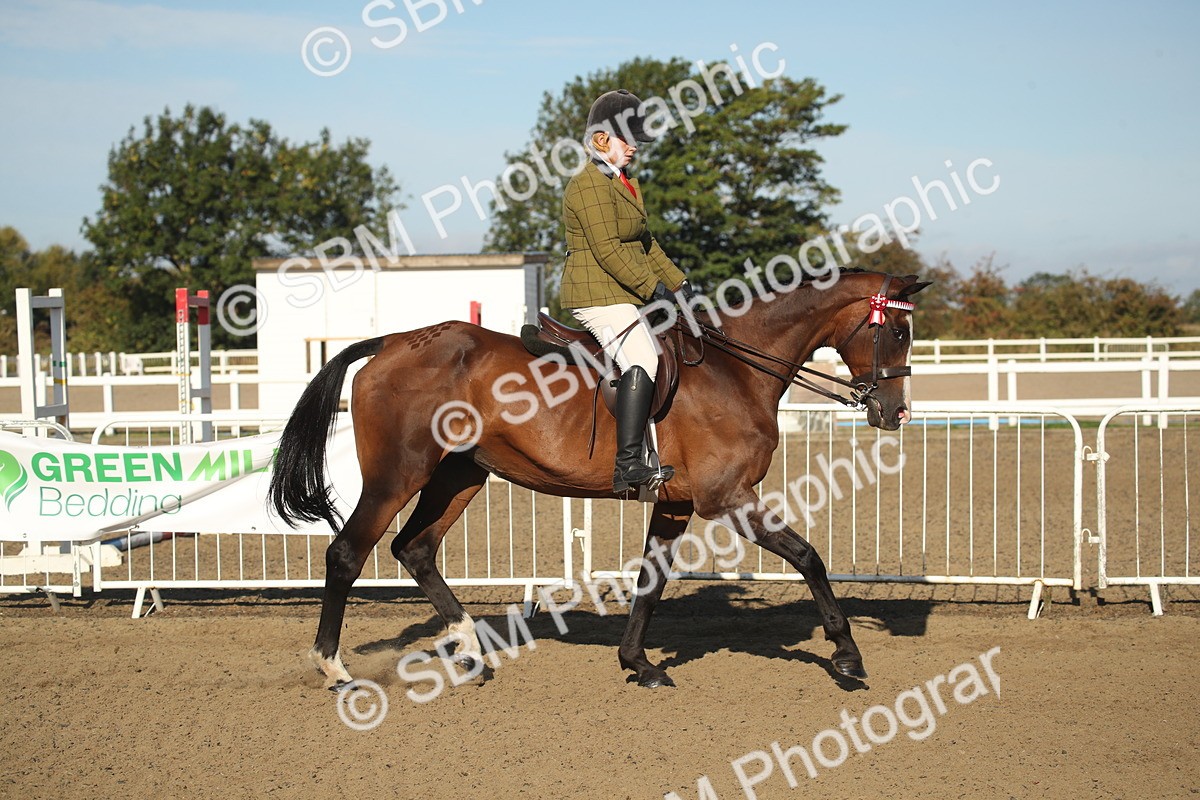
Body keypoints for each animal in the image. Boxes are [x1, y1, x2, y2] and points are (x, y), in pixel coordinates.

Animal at [268, 269, 929, 689]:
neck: (735, 369)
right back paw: (335, 670)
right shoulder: (727, 498)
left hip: (460, 475)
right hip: (397, 475)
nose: (895, 413)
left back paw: (471, 651)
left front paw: (639, 663)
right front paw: (847, 655)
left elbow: (650, 583)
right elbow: (809, 556)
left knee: (416, 548)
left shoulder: (676, 504)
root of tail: (394, 342)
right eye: (897, 331)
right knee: (347, 554)